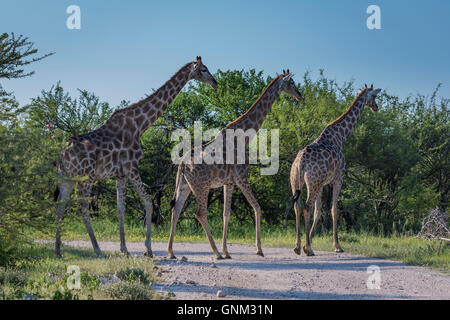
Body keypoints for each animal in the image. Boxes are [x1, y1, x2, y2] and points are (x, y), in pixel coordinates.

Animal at [55, 57, 218, 258]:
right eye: (203, 69)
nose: (215, 83)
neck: (139, 125)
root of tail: (62, 154)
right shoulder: (132, 168)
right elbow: (148, 203)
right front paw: (148, 249)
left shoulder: (120, 174)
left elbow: (121, 209)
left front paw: (125, 249)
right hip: (86, 177)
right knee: (82, 209)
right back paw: (98, 250)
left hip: (67, 178)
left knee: (60, 207)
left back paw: (58, 250)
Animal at [168, 70, 302, 260]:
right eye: (291, 82)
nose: (300, 95)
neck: (244, 137)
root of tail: (182, 165)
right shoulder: (242, 178)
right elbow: (257, 207)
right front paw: (258, 249)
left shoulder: (229, 183)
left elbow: (226, 214)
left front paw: (227, 251)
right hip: (201, 186)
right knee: (200, 213)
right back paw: (215, 253)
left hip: (184, 185)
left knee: (176, 210)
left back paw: (172, 251)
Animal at [288, 84, 380, 256]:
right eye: (374, 96)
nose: (376, 107)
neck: (341, 136)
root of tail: (300, 162)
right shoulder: (338, 178)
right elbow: (334, 210)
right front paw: (337, 246)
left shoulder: (322, 184)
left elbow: (319, 211)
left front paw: (308, 241)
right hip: (312, 182)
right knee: (307, 207)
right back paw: (309, 250)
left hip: (297, 181)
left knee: (298, 206)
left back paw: (297, 247)